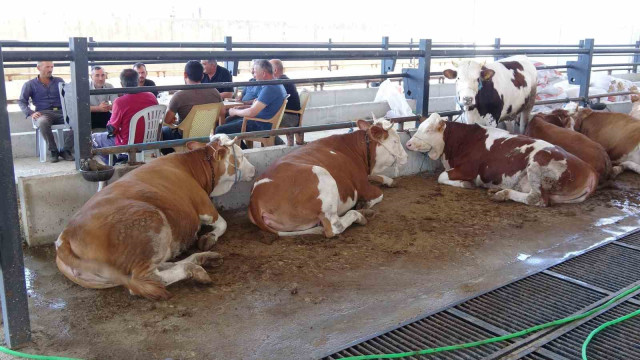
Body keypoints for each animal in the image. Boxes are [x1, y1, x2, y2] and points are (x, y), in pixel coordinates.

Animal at [55, 134, 255, 300]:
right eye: (241, 156)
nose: (254, 169)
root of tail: (65, 236)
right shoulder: (204, 206)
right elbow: (223, 224)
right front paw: (209, 237)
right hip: (153, 224)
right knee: (147, 279)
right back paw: (195, 269)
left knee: (161, 267)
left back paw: (204, 258)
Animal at [248, 117, 408, 236]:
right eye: (395, 141)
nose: (406, 156)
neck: (359, 150)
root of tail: (255, 197)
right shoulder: (363, 185)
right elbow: (379, 194)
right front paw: (365, 203)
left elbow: (376, 176)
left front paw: (390, 181)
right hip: (323, 176)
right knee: (334, 227)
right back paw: (359, 215)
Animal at [408, 114, 596, 207]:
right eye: (419, 126)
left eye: (428, 130)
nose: (408, 143)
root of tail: (590, 171)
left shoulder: (468, 169)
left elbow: (441, 177)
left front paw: (465, 184)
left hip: (537, 164)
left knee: (536, 198)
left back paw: (502, 194)